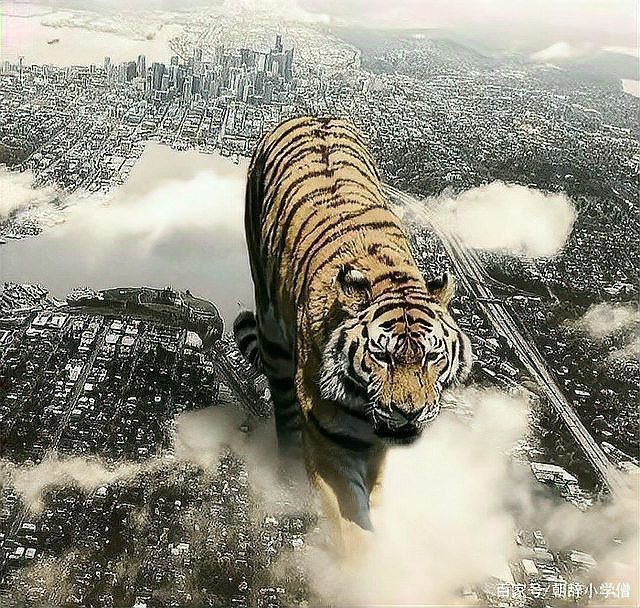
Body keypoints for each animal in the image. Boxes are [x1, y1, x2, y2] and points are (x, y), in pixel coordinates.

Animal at [233, 115, 472, 553]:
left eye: (432, 357)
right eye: (382, 356)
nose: (410, 413)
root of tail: (310, 113)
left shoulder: (376, 444)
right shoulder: (331, 443)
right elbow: (352, 524)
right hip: (272, 330)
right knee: (284, 413)